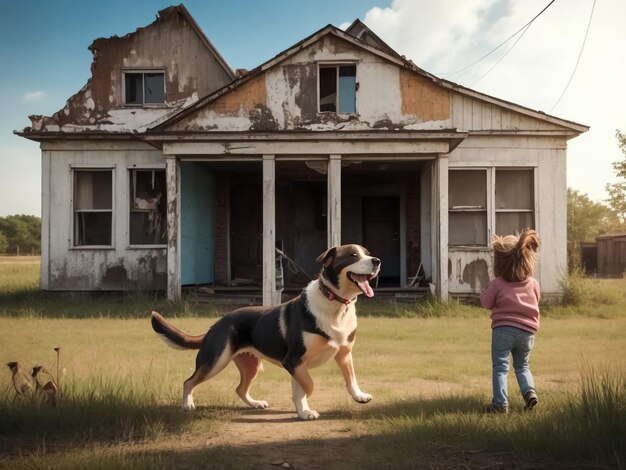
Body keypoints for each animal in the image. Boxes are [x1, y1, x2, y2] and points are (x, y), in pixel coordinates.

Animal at [150, 244, 380, 420]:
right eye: (352, 255)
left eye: (367, 252)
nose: (376, 260)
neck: (336, 305)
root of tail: (216, 324)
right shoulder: (294, 360)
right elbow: (308, 385)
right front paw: (304, 408)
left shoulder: (343, 353)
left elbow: (350, 378)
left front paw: (356, 396)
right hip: (216, 360)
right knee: (189, 381)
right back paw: (187, 405)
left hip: (251, 365)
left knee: (240, 388)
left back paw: (255, 403)